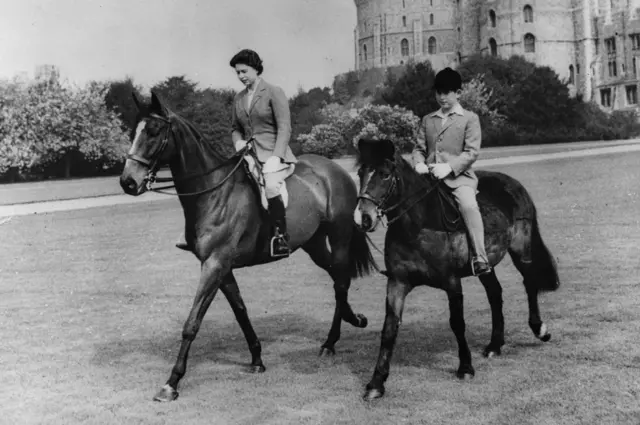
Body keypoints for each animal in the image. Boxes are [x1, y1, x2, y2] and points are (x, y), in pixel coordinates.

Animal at [119, 93, 378, 400]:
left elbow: (192, 322)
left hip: (338, 237)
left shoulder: (214, 265)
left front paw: (172, 382)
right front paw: (257, 359)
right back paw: (350, 322)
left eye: (154, 131)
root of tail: (336, 170)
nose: (128, 182)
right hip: (313, 244)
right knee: (337, 276)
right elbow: (240, 311)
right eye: (133, 132)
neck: (214, 191)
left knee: (340, 281)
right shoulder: (221, 267)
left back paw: (332, 340)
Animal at [356, 138, 560, 398]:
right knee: (495, 294)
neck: (418, 225)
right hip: (486, 264)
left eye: (384, 174)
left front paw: (465, 367)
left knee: (529, 283)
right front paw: (376, 383)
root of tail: (513, 184)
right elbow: (389, 328)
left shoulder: (452, 282)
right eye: (361, 173)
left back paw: (539, 329)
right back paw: (495, 345)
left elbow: (457, 323)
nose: (363, 218)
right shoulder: (397, 283)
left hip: (521, 249)